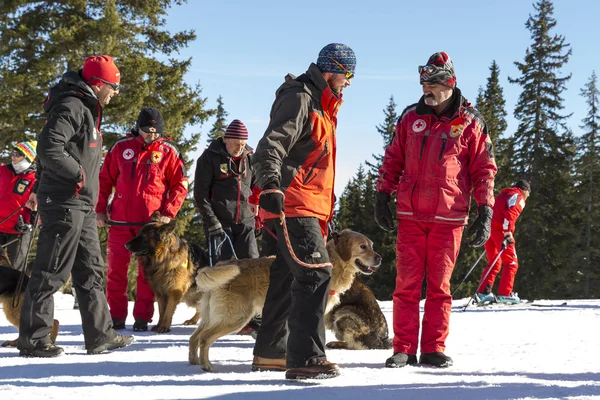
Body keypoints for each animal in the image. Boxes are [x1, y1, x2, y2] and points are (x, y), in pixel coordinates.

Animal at [189, 230, 384, 374]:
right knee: (204, 339)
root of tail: (219, 264)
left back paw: (194, 361)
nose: (379, 258)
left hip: (213, 316)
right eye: (363, 247)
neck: (333, 263)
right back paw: (206, 366)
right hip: (235, 317)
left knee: (194, 337)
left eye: (372, 246)